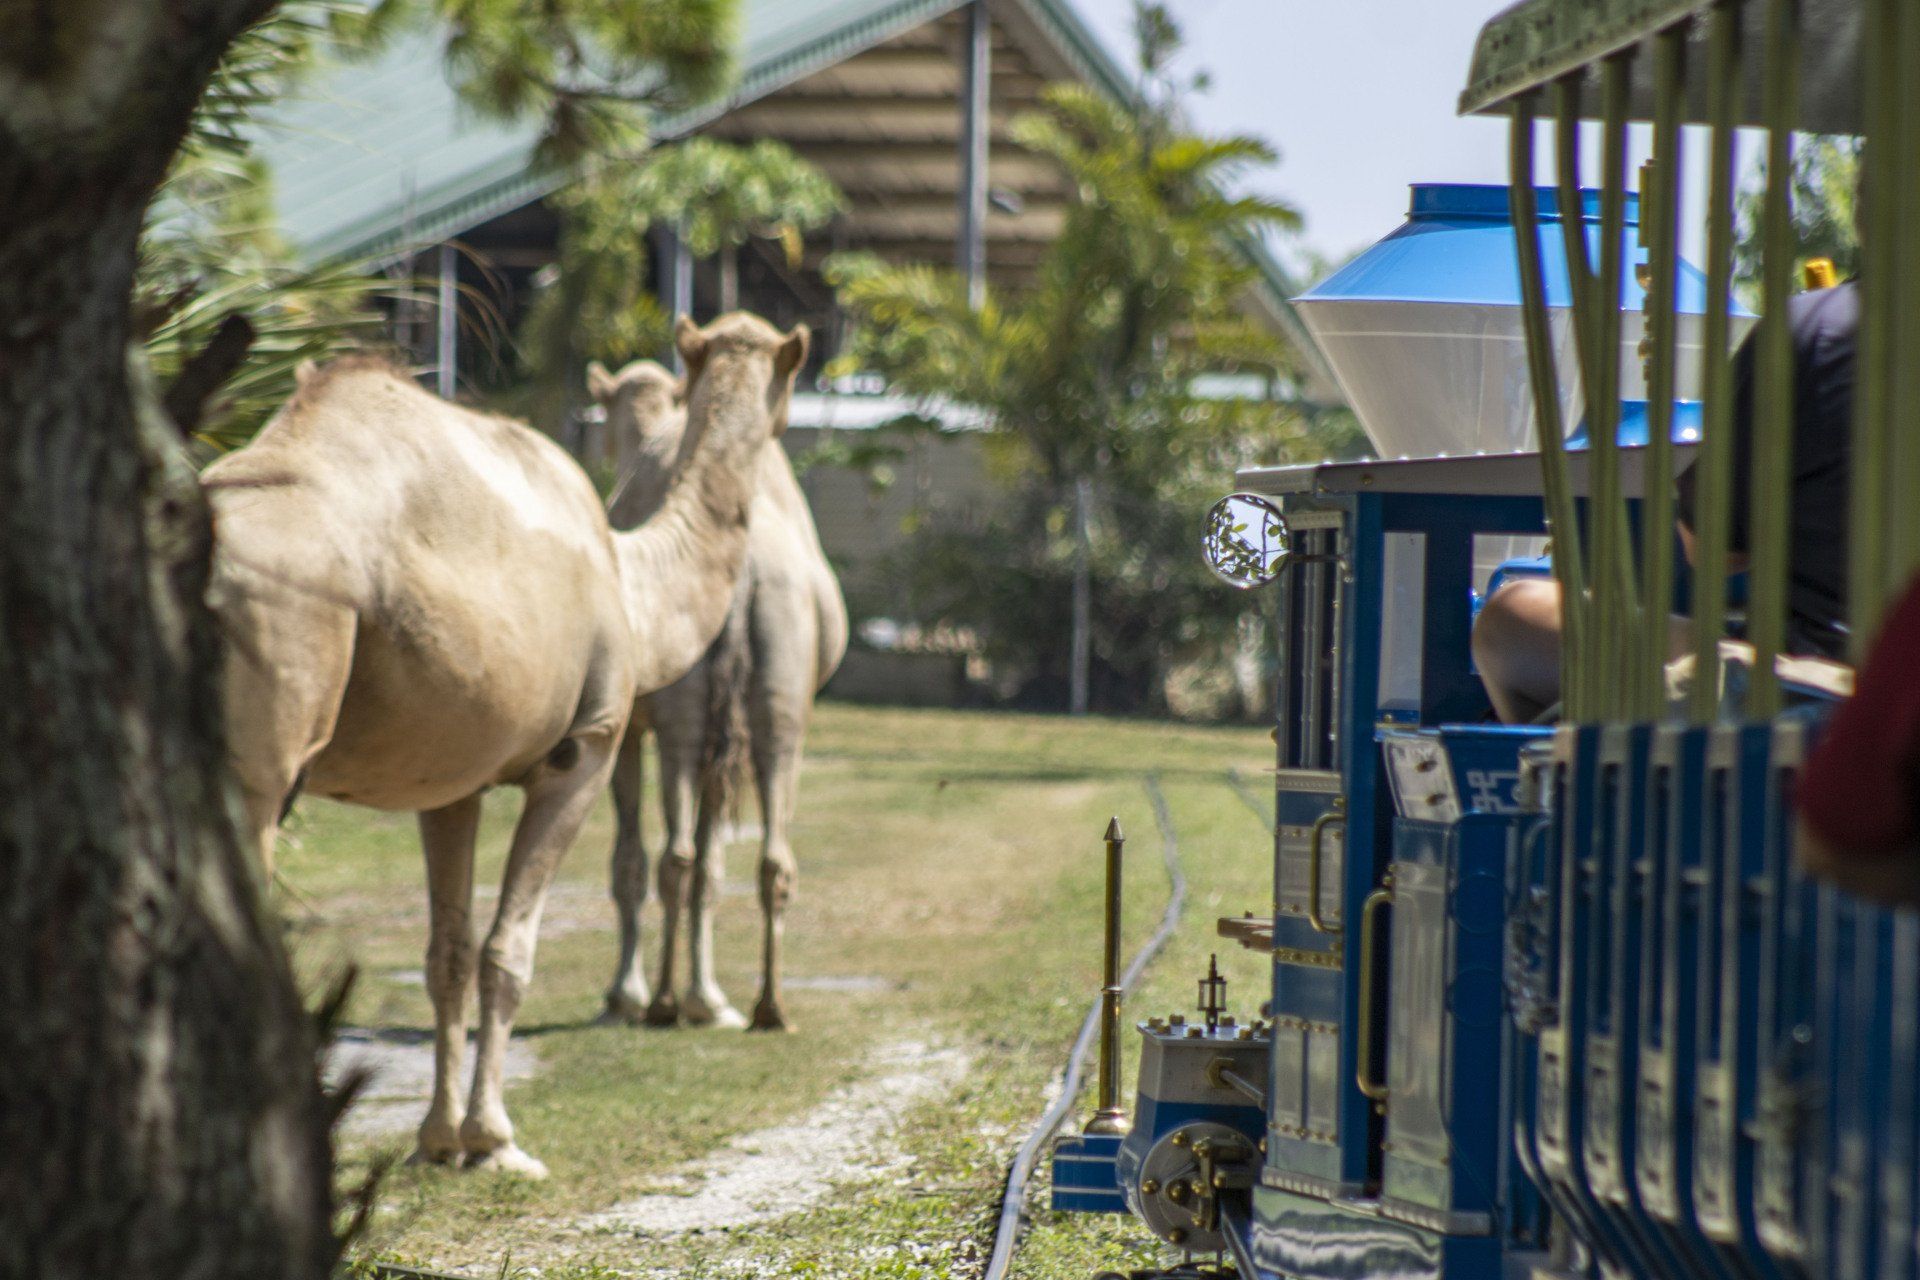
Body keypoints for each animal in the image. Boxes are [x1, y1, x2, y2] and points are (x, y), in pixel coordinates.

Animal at [204, 313, 808, 1175]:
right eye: (793, 374)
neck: (633, 584)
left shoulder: (448, 783)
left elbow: (449, 955)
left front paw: (438, 1140)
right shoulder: (585, 748)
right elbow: (507, 952)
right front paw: (495, 1139)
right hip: (267, 721)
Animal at [589, 354, 848, 1033]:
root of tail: (748, 570)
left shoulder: (627, 727)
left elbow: (630, 859)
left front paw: (624, 994)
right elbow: (711, 864)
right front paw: (707, 998)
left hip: (683, 721)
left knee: (672, 856)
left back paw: (661, 1001)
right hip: (775, 703)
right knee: (763, 856)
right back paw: (766, 1005)